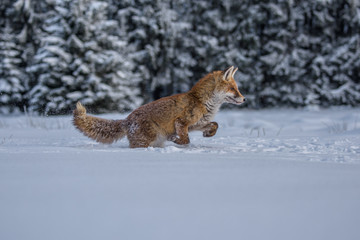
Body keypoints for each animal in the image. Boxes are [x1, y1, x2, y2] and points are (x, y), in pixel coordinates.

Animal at [74, 66, 246, 148]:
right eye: (233, 89)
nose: (244, 99)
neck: (201, 101)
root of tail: (127, 119)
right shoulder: (181, 122)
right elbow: (186, 140)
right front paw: (175, 140)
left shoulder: (196, 124)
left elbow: (215, 125)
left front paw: (208, 134)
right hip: (144, 142)